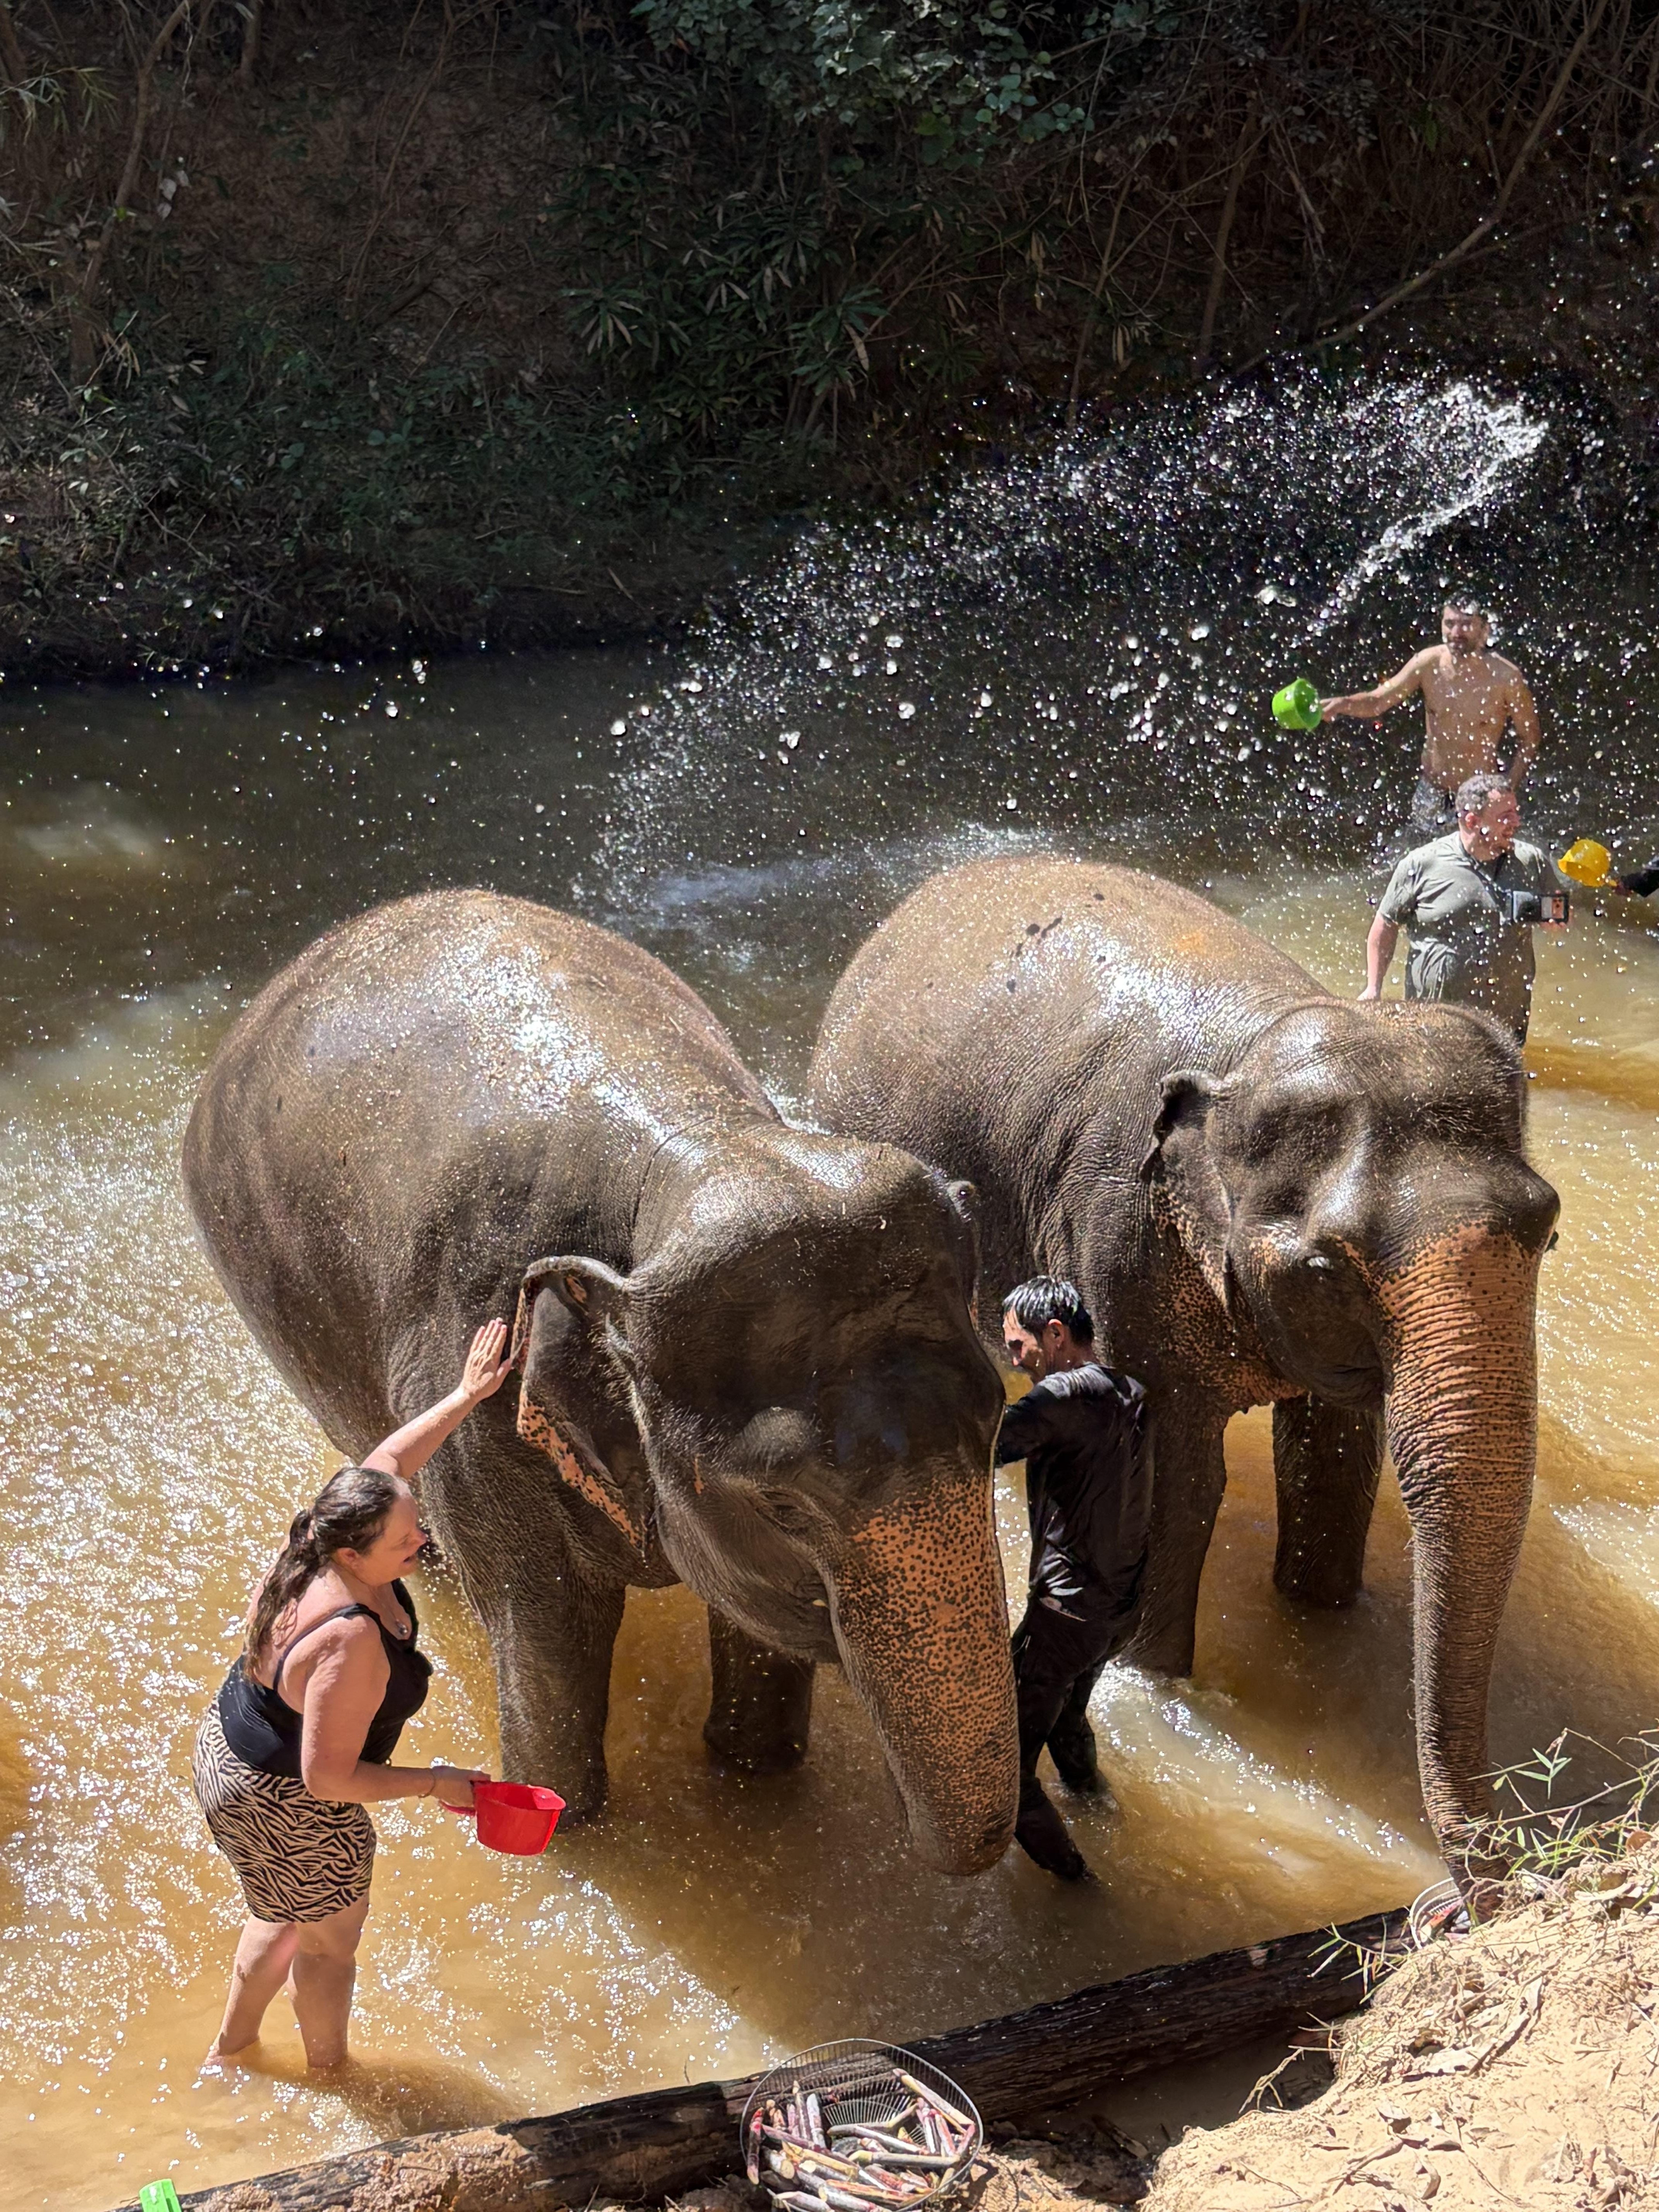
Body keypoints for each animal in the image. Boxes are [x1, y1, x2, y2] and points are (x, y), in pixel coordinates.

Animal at [183, 888, 1018, 1875]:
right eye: (783, 1504)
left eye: (998, 1431)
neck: (689, 1161)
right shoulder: (483, 1410)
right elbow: (551, 1626)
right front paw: (566, 1821)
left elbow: (747, 1617)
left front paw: (755, 1770)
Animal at [806, 855, 1560, 1881]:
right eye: (1326, 1269)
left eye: (1548, 1230)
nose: (1490, 1879)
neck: (1257, 1040)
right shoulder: (1117, 1228)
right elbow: (1180, 1481)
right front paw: (1161, 1682)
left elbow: (1331, 1461)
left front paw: (1320, 1610)